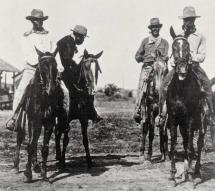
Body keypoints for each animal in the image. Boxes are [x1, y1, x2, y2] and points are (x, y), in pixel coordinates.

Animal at [166, 26, 208, 186]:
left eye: (188, 47)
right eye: (173, 47)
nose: (182, 69)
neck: (181, 89)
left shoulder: (190, 119)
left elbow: (191, 148)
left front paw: (190, 178)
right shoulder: (173, 118)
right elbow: (173, 147)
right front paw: (172, 176)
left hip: (202, 124)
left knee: (199, 144)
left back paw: (195, 173)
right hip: (183, 126)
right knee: (185, 143)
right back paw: (185, 172)